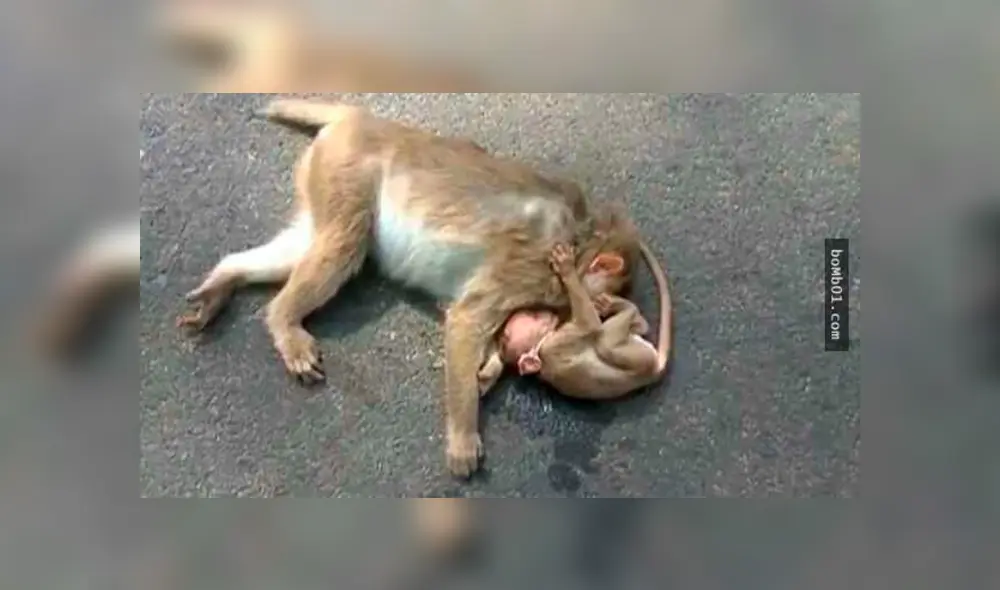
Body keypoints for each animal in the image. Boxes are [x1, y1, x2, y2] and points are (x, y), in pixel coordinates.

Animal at [177, 98, 642, 478]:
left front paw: (488, 369)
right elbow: (467, 317)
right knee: (344, 242)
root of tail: (359, 118)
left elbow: (470, 319)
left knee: (310, 241)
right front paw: (462, 436)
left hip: (323, 176)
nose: (601, 308)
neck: (579, 237)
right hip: (347, 170)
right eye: (603, 300)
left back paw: (225, 278)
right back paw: (284, 322)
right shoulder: (531, 267)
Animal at [476, 239, 671, 400]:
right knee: (606, 342)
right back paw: (625, 309)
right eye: (535, 317)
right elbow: (589, 324)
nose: (548, 314)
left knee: (637, 329)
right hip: (639, 359)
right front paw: (567, 269)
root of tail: (654, 370)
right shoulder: (558, 343)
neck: (541, 344)